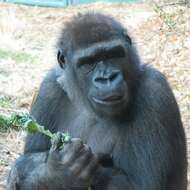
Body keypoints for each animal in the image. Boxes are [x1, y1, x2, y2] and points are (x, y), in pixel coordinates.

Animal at [7, 12, 187, 189]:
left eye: (113, 55)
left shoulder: (154, 90)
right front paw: (58, 172)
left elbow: (141, 184)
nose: (107, 78)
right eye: (88, 63)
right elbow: (30, 155)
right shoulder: (48, 88)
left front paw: (61, 170)